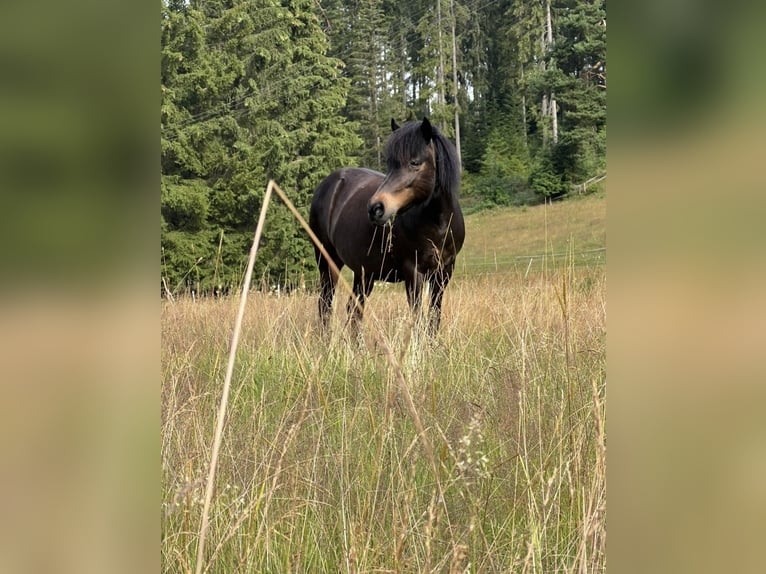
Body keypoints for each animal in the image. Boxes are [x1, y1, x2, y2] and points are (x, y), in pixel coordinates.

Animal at [308, 117, 464, 332]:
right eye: (390, 164)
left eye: (415, 162)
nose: (375, 208)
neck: (437, 225)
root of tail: (328, 184)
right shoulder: (413, 272)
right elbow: (418, 319)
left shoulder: (444, 273)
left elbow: (434, 318)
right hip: (327, 263)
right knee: (325, 305)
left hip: (364, 273)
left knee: (354, 310)